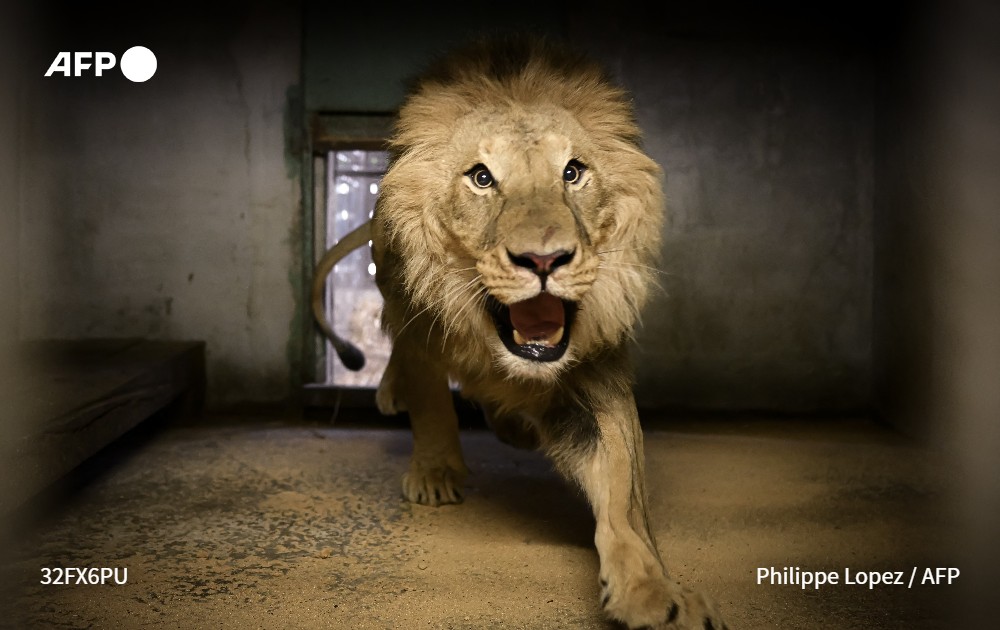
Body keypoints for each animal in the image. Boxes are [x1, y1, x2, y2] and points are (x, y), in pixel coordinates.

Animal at [311, 36, 727, 630]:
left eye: (573, 172)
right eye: (482, 178)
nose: (544, 260)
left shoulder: (597, 373)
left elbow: (623, 499)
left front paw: (655, 594)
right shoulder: (418, 320)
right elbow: (432, 403)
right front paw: (435, 473)